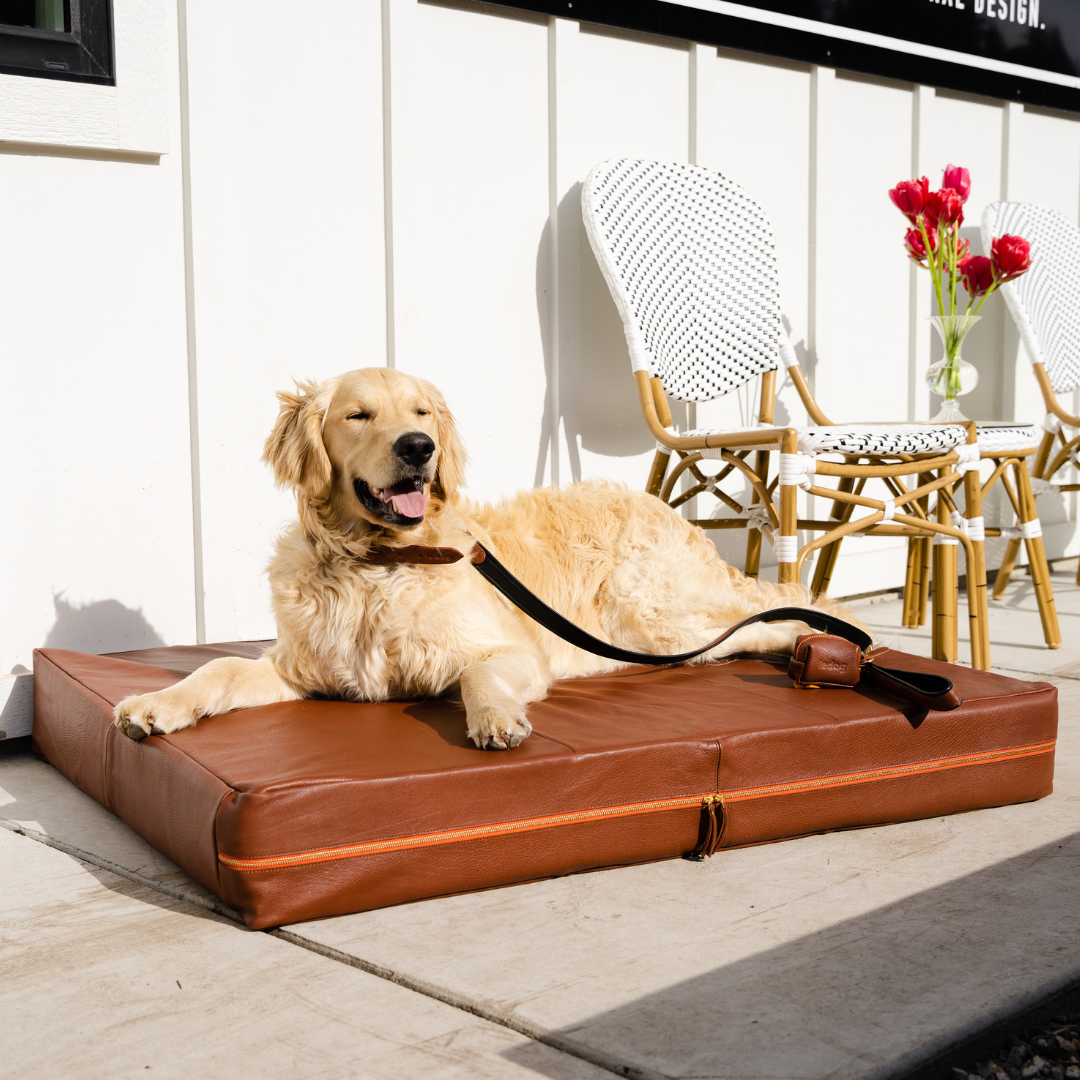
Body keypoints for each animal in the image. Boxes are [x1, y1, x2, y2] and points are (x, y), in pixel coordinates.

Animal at [111, 367, 851, 747]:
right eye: (357, 415)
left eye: (421, 413)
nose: (418, 448)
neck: (377, 563)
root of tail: (669, 513)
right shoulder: (301, 669)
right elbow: (217, 669)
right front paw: (156, 703)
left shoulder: (508, 649)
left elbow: (478, 676)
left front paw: (496, 718)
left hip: (654, 616)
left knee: (770, 616)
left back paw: (819, 642)